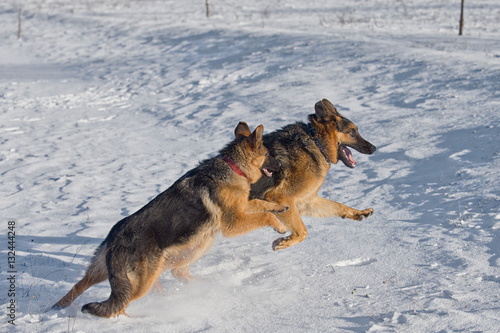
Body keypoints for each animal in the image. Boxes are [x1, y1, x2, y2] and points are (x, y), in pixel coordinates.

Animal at [51, 122, 288, 316]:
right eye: (268, 154)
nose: (282, 167)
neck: (233, 167)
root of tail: (115, 238)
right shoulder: (233, 223)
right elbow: (264, 214)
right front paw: (278, 226)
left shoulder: (242, 207)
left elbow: (261, 204)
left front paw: (280, 207)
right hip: (151, 274)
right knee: (122, 304)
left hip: (185, 249)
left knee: (81, 286)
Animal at [250, 98, 376, 249]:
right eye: (352, 132)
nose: (374, 148)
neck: (316, 142)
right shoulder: (279, 198)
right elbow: (302, 232)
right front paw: (283, 242)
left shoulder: (307, 201)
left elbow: (338, 205)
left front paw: (359, 213)